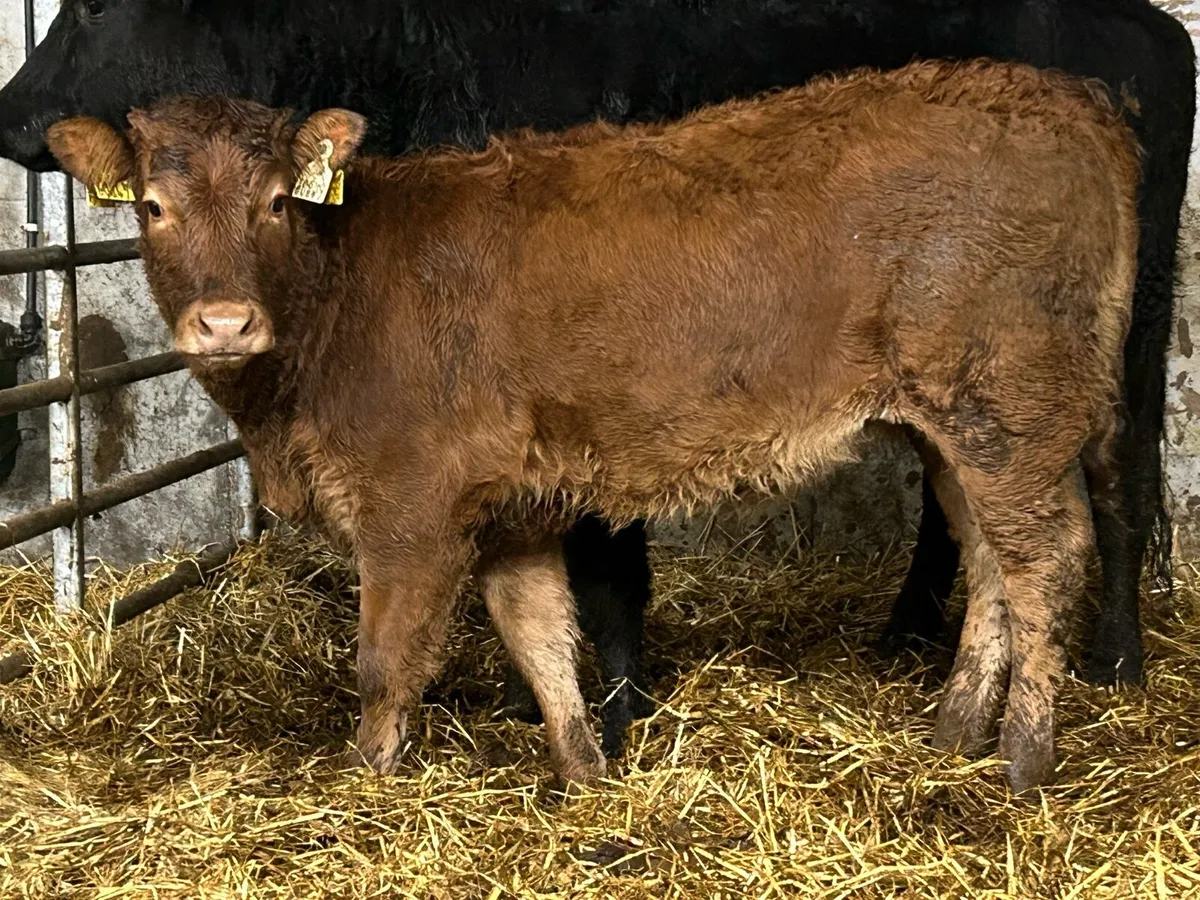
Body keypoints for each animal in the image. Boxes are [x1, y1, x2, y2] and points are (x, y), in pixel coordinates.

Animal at [2, 1, 1191, 743]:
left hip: (1065, 372)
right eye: (154, 205)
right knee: (976, 527)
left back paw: (1072, 705)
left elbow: (529, 590)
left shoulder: (499, 438)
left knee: (1085, 511)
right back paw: (932, 682)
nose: (12, 110)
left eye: (101, 2)